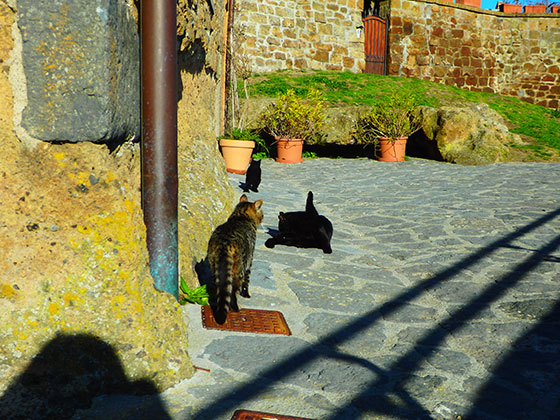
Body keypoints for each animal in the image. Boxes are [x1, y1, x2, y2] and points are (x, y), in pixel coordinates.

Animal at [208, 195, 264, 324]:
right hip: (240, 269)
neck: (240, 216)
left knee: (222, 289)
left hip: (214, 267)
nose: (263, 218)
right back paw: (236, 308)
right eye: (262, 214)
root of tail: (224, 243)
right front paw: (246, 294)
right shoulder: (250, 260)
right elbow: (246, 282)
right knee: (233, 291)